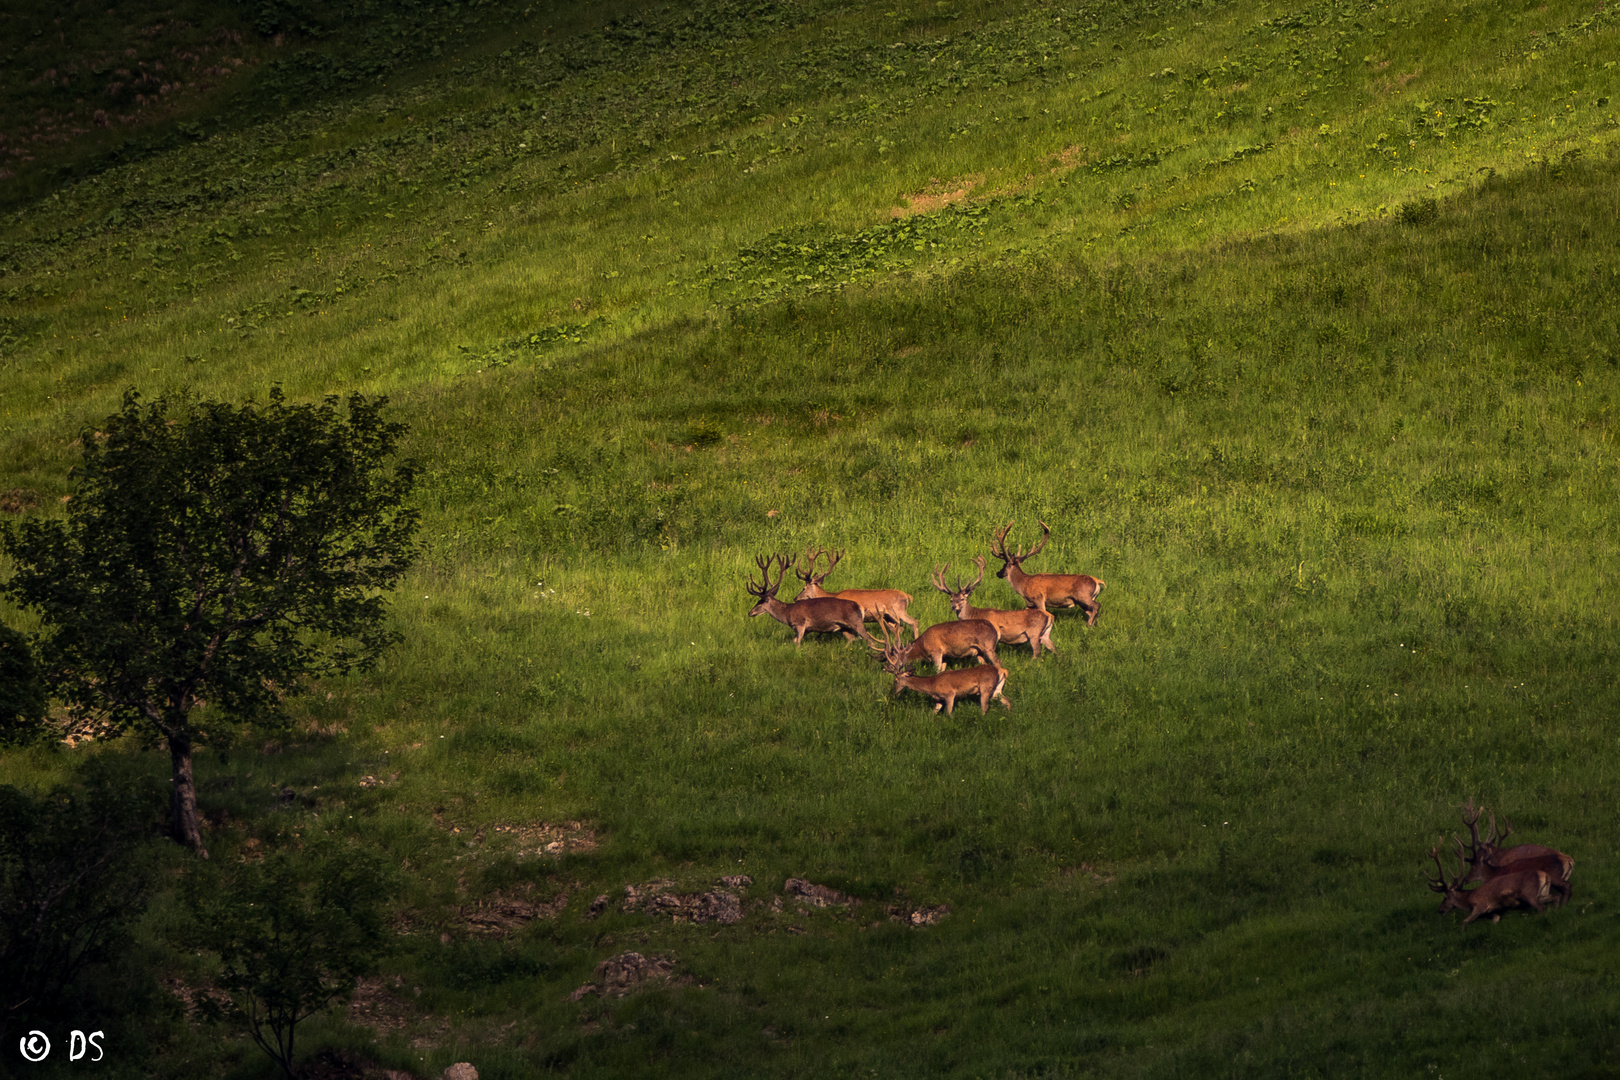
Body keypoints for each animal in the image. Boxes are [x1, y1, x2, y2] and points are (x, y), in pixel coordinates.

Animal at [741, 553, 874, 647]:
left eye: (761, 601)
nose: (750, 612)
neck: (787, 612)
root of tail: (860, 607)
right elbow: (794, 641)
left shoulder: (800, 623)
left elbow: (798, 643)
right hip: (844, 627)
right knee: (853, 639)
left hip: (856, 622)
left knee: (869, 640)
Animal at [790, 550, 920, 641]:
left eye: (803, 588)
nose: (795, 598)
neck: (833, 596)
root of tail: (907, 596)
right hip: (889, 616)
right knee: (900, 628)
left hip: (898, 610)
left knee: (914, 622)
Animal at [874, 625, 1010, 718]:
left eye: (896, 680)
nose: (892, 692)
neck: (931, 685)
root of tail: (1001, 672)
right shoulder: (938, 700)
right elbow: (933, 712)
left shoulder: (950, 694)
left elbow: (948, 713)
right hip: (997, 690)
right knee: (1007, 701)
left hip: (985, 687)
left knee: (984, 707)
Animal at [978, 521, 1108, 625]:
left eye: (1004, 565)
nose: (998, 573)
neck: (1024, 584)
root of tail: (1097, 581)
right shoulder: (1030, 603)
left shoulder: (1038, 598)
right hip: (1082, 601)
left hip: (1083, 595)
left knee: (1097, 605)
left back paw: (1089, 624)